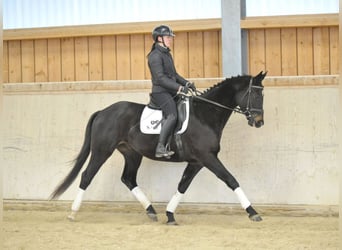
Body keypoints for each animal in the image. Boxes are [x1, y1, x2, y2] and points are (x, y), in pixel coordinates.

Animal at [50, 71, 268, 224]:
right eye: (256, 94)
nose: (259, 122)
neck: (204, 114)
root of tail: (103, 111)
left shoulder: (197, 162)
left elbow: (182, 185)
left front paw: (170, 215)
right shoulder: (207, 157)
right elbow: (231, 180)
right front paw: (253, 213)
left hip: (132, 154)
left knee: (128, 179)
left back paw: (151, 211)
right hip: (102, 151)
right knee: (87, 176)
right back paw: (73, 213)